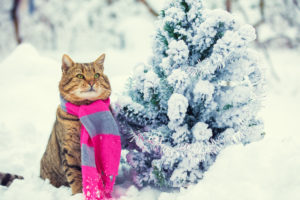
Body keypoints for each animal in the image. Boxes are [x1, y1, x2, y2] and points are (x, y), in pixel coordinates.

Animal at [38, 53, 111, 194]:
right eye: (80, 76)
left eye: (96, 75)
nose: (91, 82)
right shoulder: (69, 148)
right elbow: (74, 173)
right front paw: (78, 193)